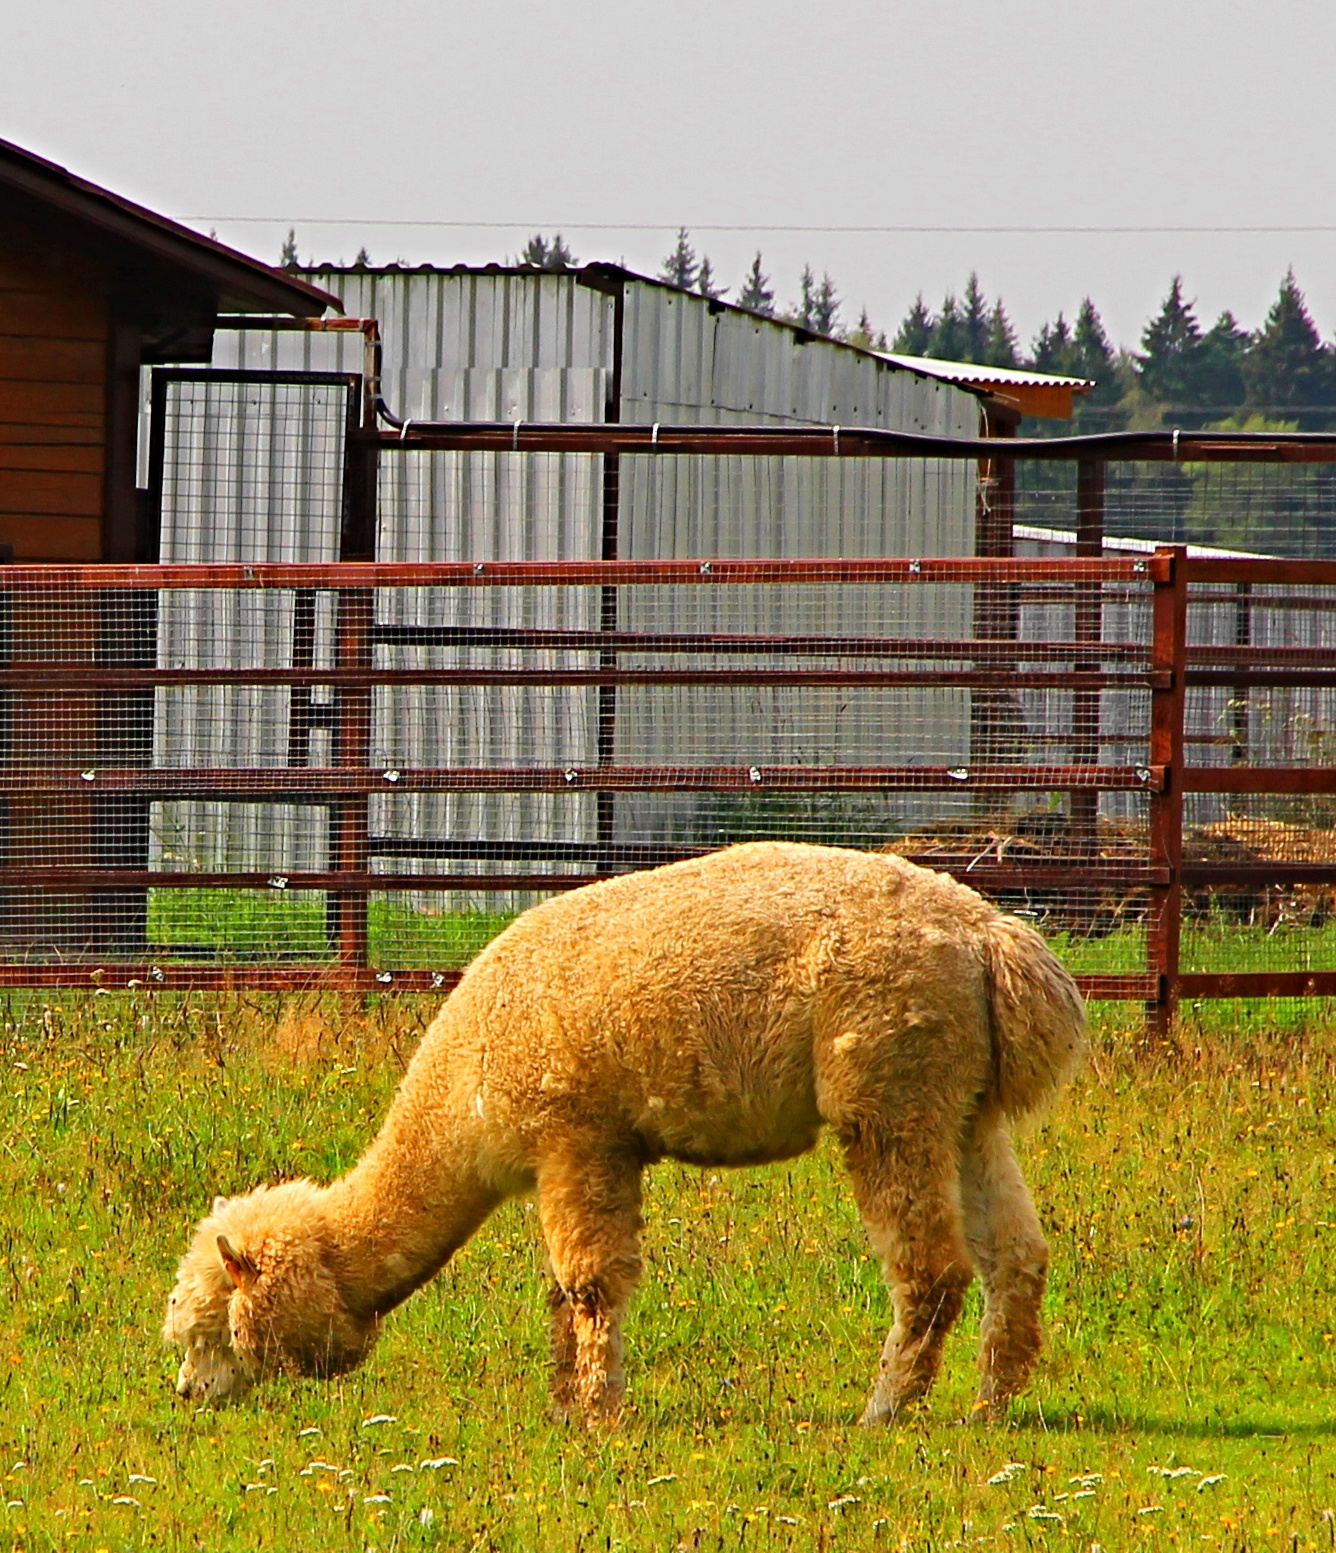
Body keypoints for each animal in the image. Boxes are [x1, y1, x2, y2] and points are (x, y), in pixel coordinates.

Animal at [164, 841, 1085, 1424]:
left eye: (214, 1330)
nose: (185, 1391)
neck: (464, 1090)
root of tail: (993, 936)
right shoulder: (569, 1153)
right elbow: (561, 1289)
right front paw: (564, 1400)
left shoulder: (579, 1132)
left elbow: (591, 1282)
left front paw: (599, 1412)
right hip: (963, 1103)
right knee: (1017, 1255)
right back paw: (991, 1406)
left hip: (891, 1086)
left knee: (931, 1268)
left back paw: (885, 1410)